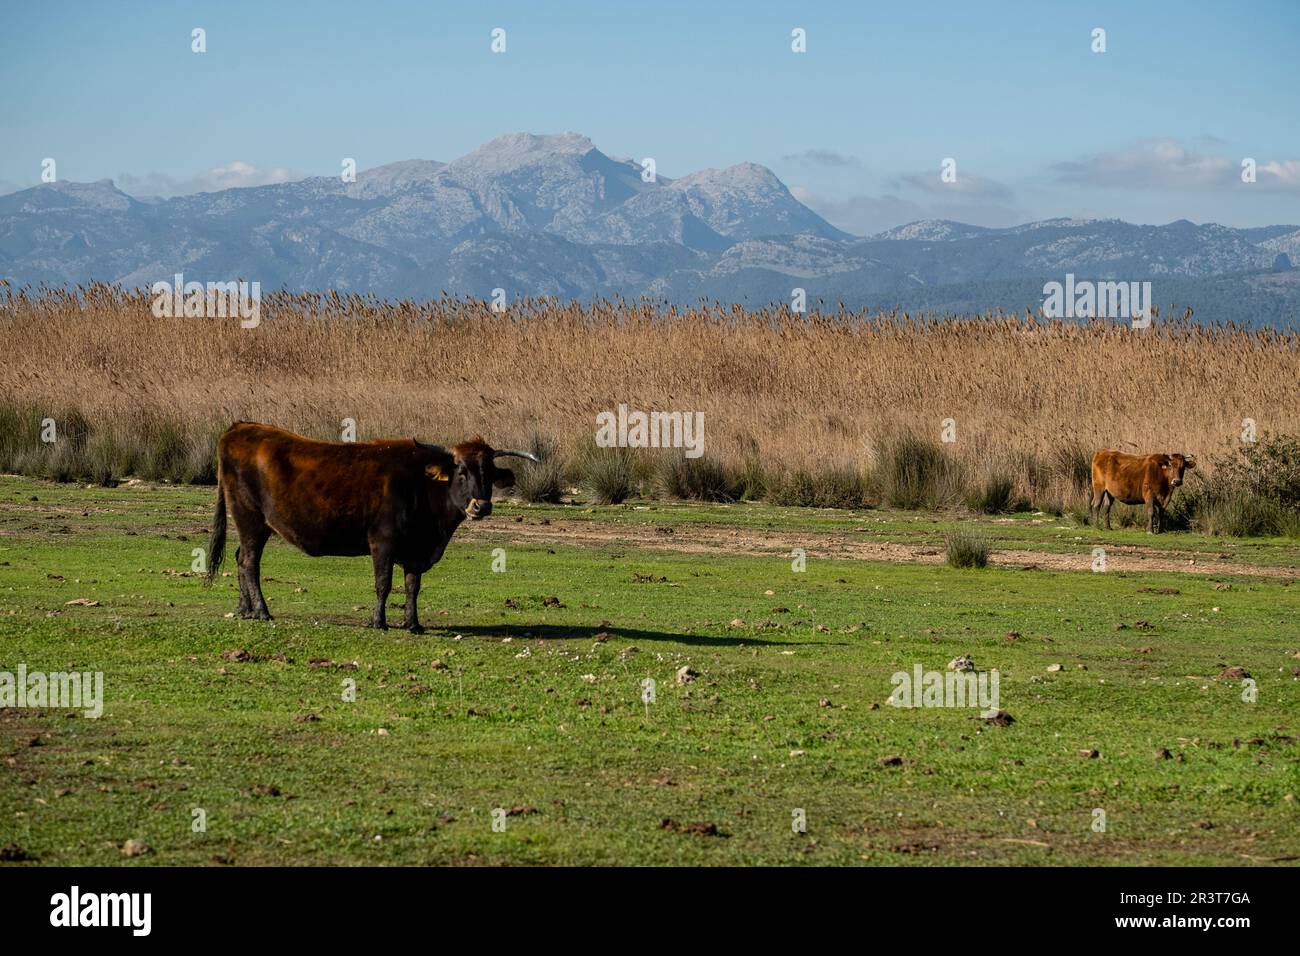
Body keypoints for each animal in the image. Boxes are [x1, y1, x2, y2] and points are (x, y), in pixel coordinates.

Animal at [206, 421, 538, 632]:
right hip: (250, 518)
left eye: (489, 473)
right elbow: (384, 583)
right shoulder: (383, 541)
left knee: (240, 557)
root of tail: (241, 427)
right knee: (249, 562)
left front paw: (413, 623)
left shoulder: (416, 549)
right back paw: (261, 611)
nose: (481, 506)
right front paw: (379, 621)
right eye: (461, 472)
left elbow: (412, 585)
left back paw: (245, 609)